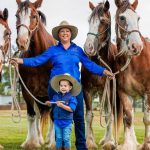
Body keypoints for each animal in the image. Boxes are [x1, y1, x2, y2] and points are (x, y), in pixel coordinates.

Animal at [15, 0, 55, 149]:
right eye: (17, 15)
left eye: (33, 16)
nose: (22, 42)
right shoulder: (27, 91)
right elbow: (31, 115)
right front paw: (32, 143)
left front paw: (53, 143)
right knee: (37, 115)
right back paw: (39, 139)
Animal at [81, 1, 120, 149]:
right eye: (89, 21)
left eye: (103, 21)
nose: (88, 47)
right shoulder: (87, 89)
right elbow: (89, 115)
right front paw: (89, 141)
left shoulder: (109, 89)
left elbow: (109, 115)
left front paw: (109, 142)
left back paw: (109, 139)